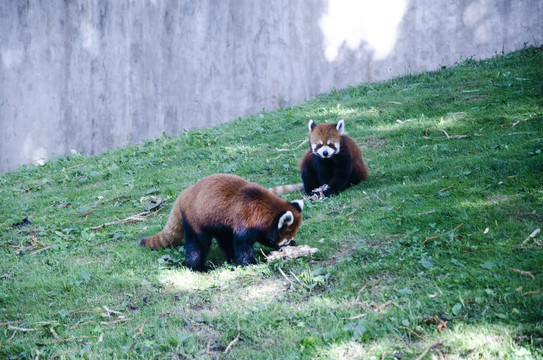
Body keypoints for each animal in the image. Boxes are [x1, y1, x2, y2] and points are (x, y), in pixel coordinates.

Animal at [140, 174, 304, 270]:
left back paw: (229, 258)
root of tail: (184, 194)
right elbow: (242, 245)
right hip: (196, 220)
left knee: (224, 240)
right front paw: (251, 263)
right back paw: (198, 267)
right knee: (198, 244)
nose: (288, 244)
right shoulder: (246, 220)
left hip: (218, 223)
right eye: (286, 239)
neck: (262, 206)